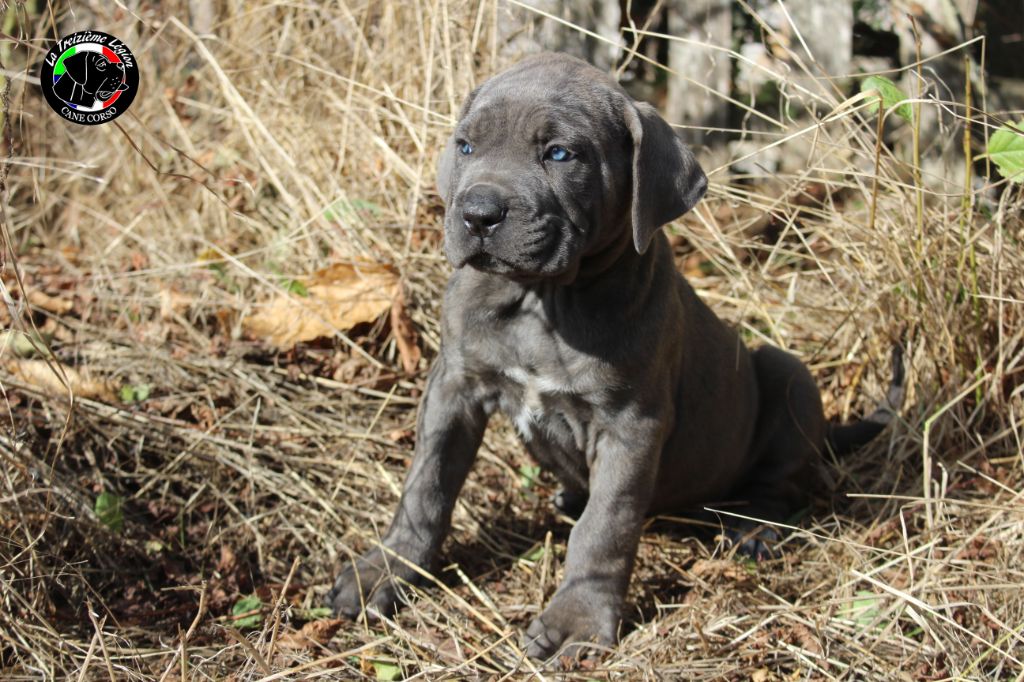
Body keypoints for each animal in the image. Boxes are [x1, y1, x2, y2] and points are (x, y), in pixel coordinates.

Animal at [329, 53, 905, 659]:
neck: (544, 301)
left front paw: (579, 618)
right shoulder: (454, 385)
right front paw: (385, 570)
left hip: (786, 374)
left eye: (560, 154)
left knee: (782, 481)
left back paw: (753, 529)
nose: (479, 213)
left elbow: (606, 523)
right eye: (465, 146)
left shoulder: (631, 425)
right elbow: (427, 484)